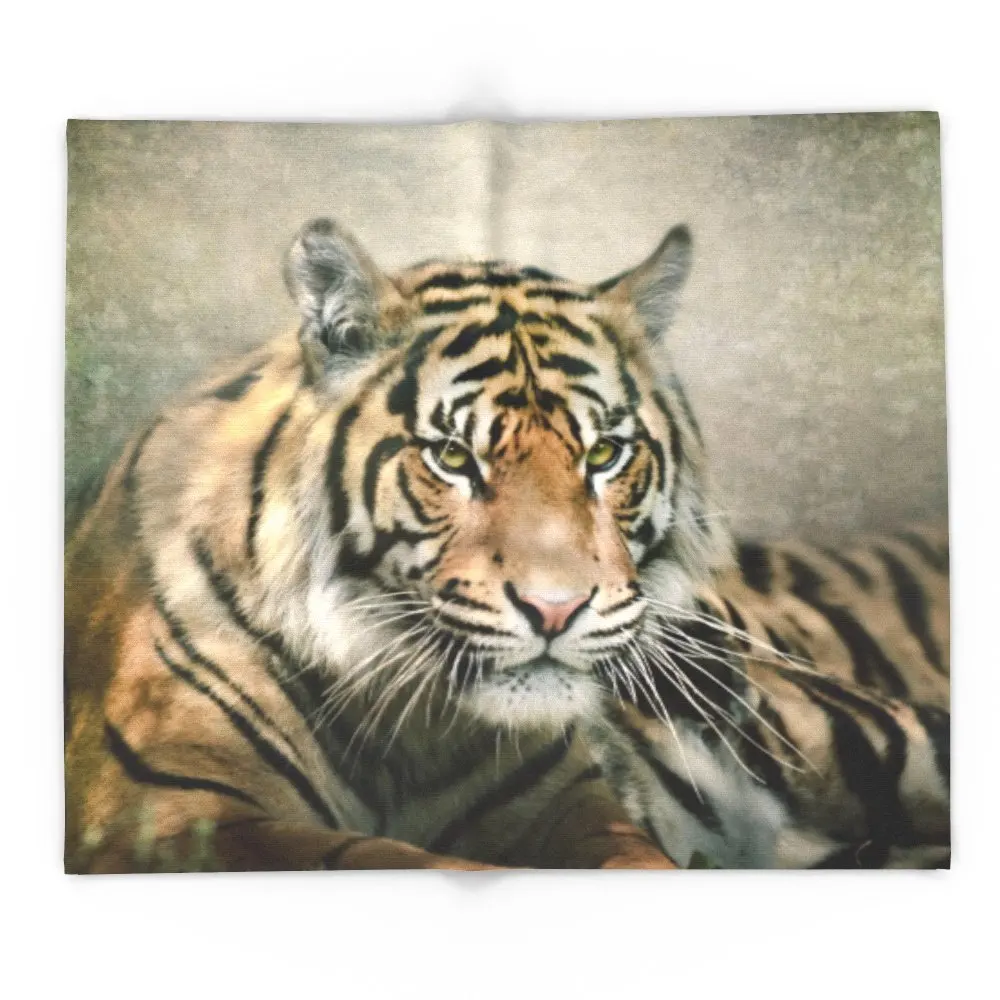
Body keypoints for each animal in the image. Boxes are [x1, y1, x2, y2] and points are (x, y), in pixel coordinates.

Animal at [64, 216, 949, 872]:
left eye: (604, 454)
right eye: (454, 458)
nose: (556, 610)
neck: (404, 725)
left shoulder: (571, 806)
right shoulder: (173, 820)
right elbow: (393, 858)